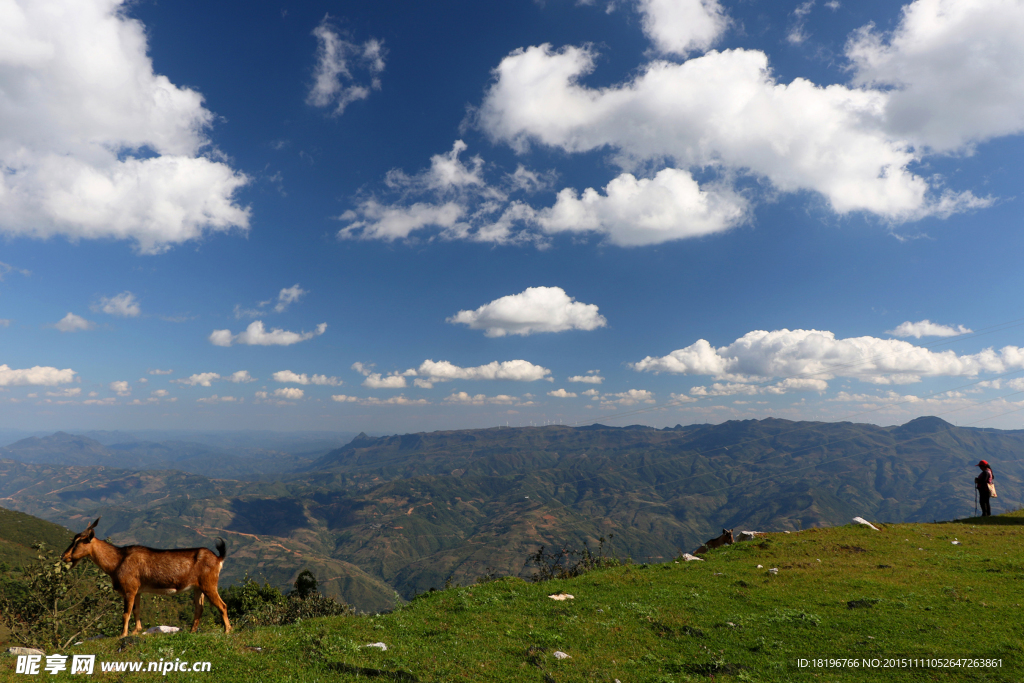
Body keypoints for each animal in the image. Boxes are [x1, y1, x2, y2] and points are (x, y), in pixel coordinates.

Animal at [59, 520, 232, 638]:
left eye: (78, 542)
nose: (64, 556)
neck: (117, 561)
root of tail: (218, 558)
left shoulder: (129, 589)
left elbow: (126, 613)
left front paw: (123, 634)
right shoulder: (138, 590)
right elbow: (137, 610)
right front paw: (136, 630)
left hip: (209, 584)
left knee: (222, 605)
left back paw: (227, 630)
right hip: (198, 588)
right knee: (199, 608)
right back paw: (192, 631)